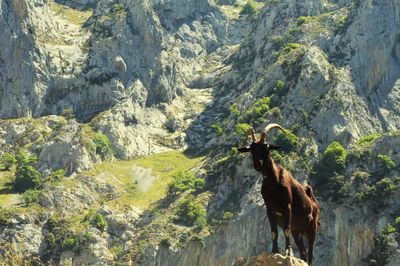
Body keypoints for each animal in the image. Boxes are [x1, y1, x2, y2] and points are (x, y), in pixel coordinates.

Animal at [239, 123, 320, 264]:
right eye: (251, 149)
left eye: (266, 147)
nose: (257, 164)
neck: (274, 184)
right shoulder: (270, 210)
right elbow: (274, 232)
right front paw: (275, 250)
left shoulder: (287, 208)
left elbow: (286, 230)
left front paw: (288, 252)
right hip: (297, 231)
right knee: (303, 252)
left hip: (312, 227)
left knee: (310, 252)